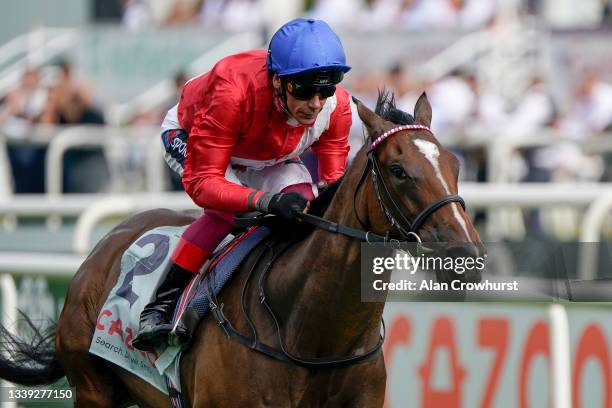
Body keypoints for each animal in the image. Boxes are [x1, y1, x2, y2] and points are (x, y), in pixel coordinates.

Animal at [0, 92, 482, 408]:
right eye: (399, 170)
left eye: (455, 164)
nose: (467, 255)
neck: (312, 334)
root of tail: (103, 245)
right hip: (92, 389)